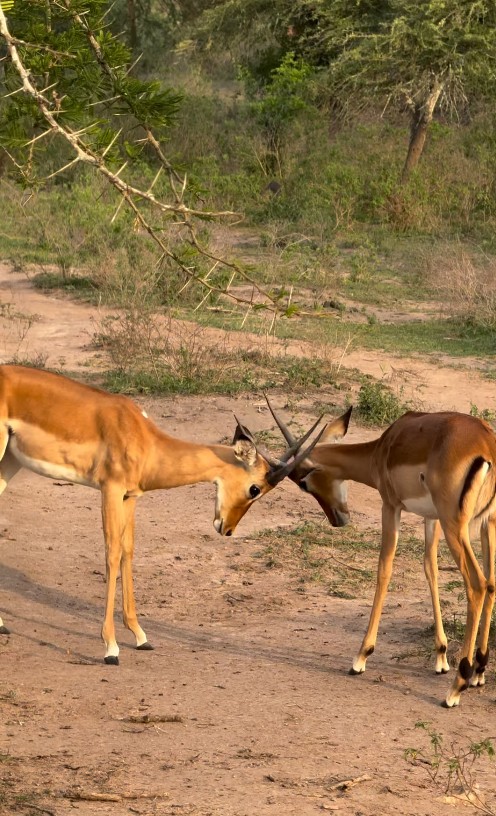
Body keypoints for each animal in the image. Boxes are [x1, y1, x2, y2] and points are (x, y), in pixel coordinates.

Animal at [0, 365, 324, 664]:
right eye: (255, 488)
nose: (228, 529)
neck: (145, 440)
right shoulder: (110, 490)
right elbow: (112, 553)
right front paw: (111, 648)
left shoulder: (130, 497)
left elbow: (128, 551)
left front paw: (140, 636)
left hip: (10, 462)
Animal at [266, 397, 496, 708]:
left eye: (303, 483)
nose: (338, 519)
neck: (383, 448)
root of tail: (485, 445)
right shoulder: (431, 517)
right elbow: (430, 568)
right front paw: (440, 657)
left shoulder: (390, 506)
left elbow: (384, 569)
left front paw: (361, 657)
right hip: (485, 522)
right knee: (491, 583)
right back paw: (479, 671)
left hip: (455, 526)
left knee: (477, 584)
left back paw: (456, 688)